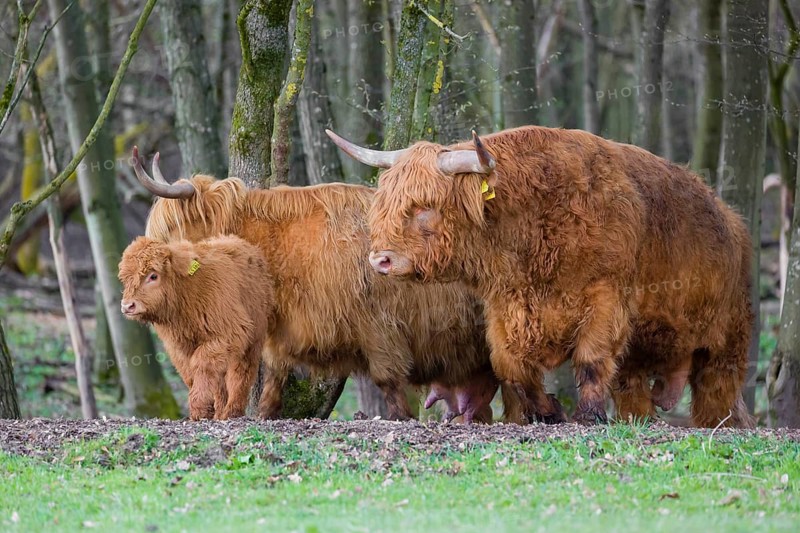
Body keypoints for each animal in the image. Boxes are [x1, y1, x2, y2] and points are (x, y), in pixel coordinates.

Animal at [119, 235, 275, 420]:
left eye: (153, 276)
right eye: (125, 279)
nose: (128, 306)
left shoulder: (228, 334)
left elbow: (202, 363)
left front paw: (199, 408)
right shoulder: (178, 347)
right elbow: (191, 373)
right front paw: (204, 411)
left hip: (253, 339)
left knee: (240, 373)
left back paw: (231, 412)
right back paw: (220, 411)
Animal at [327, 125, 754, 428]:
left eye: (424, 207)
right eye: (384, 203)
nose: (380, 260)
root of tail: (731, 218)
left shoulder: (607, 297)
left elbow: (592, 357)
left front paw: (587, 415)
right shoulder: (504, 306)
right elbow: (512, 367)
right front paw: (548, 411)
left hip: (727, 339)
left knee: (718, 389)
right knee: (632, 384)